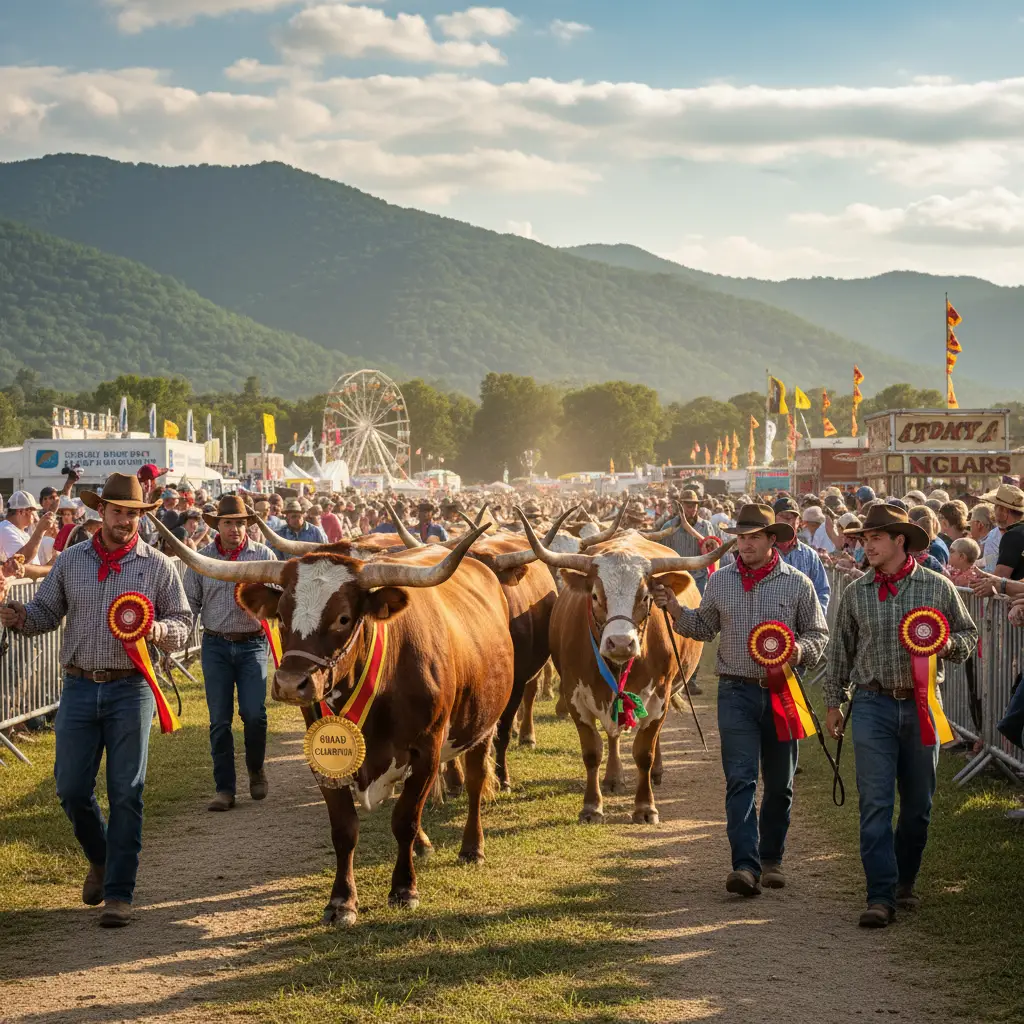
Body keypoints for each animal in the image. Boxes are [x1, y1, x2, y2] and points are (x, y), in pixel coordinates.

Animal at [149, 514, 514, 926]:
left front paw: (404, 889)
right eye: (281, 615)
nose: (290, 683)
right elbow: (344, 829)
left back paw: (471, 848)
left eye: (343, 618)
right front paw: (342, 901)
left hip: (483, 723)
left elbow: (404, 819)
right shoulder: (323, 757)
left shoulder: (427, 750)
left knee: (475, 781)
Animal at [514, 507, 734, 825]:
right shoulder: (574, 695)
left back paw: (655, 773)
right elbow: (592, 750)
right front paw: (592, 806)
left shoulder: (659, 696)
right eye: (595, 596)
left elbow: (644, 752)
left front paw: (645, 807)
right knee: (614, 735)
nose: (620, 643)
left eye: (646, 597)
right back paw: (614, 777)